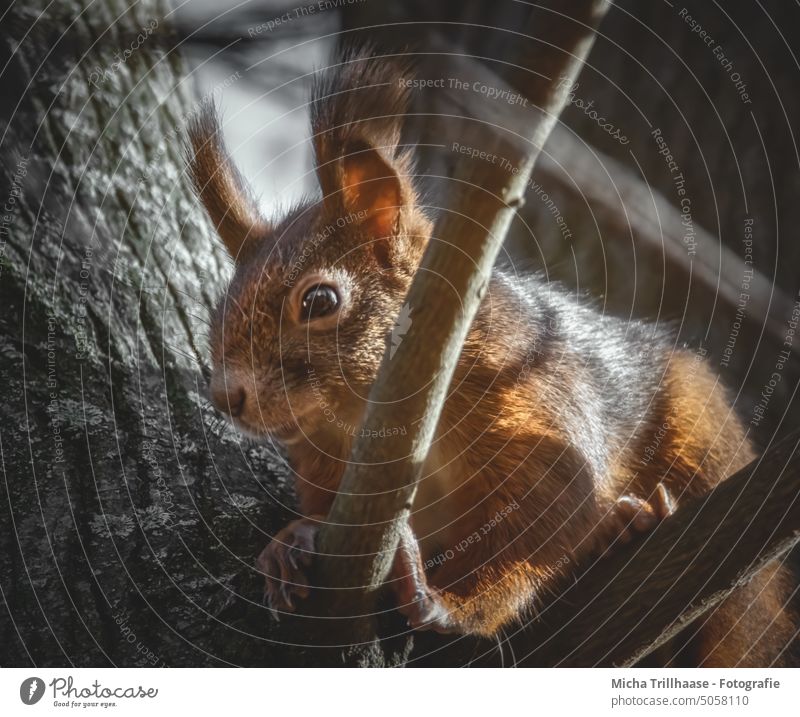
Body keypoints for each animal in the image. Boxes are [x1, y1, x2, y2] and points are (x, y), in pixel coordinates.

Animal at [188, 50, 792, 664]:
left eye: (318, 301)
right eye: (218, 311)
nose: (226, 395)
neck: (366, 422)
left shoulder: (538, 409)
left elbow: (545, 522)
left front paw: (449, 604)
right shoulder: (324, 463)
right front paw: (293, 540)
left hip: (702, 430)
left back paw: (639, 522)